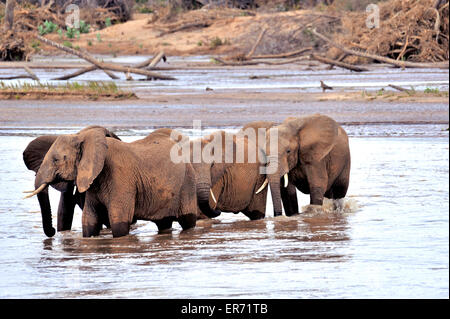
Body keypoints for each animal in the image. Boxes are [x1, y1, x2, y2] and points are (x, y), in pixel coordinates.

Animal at [24, 127, 197, 238]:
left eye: (56, 159)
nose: (53, 231)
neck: (84, 138)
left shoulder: (120, 177)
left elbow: (118, 221)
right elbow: (89, 219)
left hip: (187, 184)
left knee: (188, 221)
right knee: (163, 223)